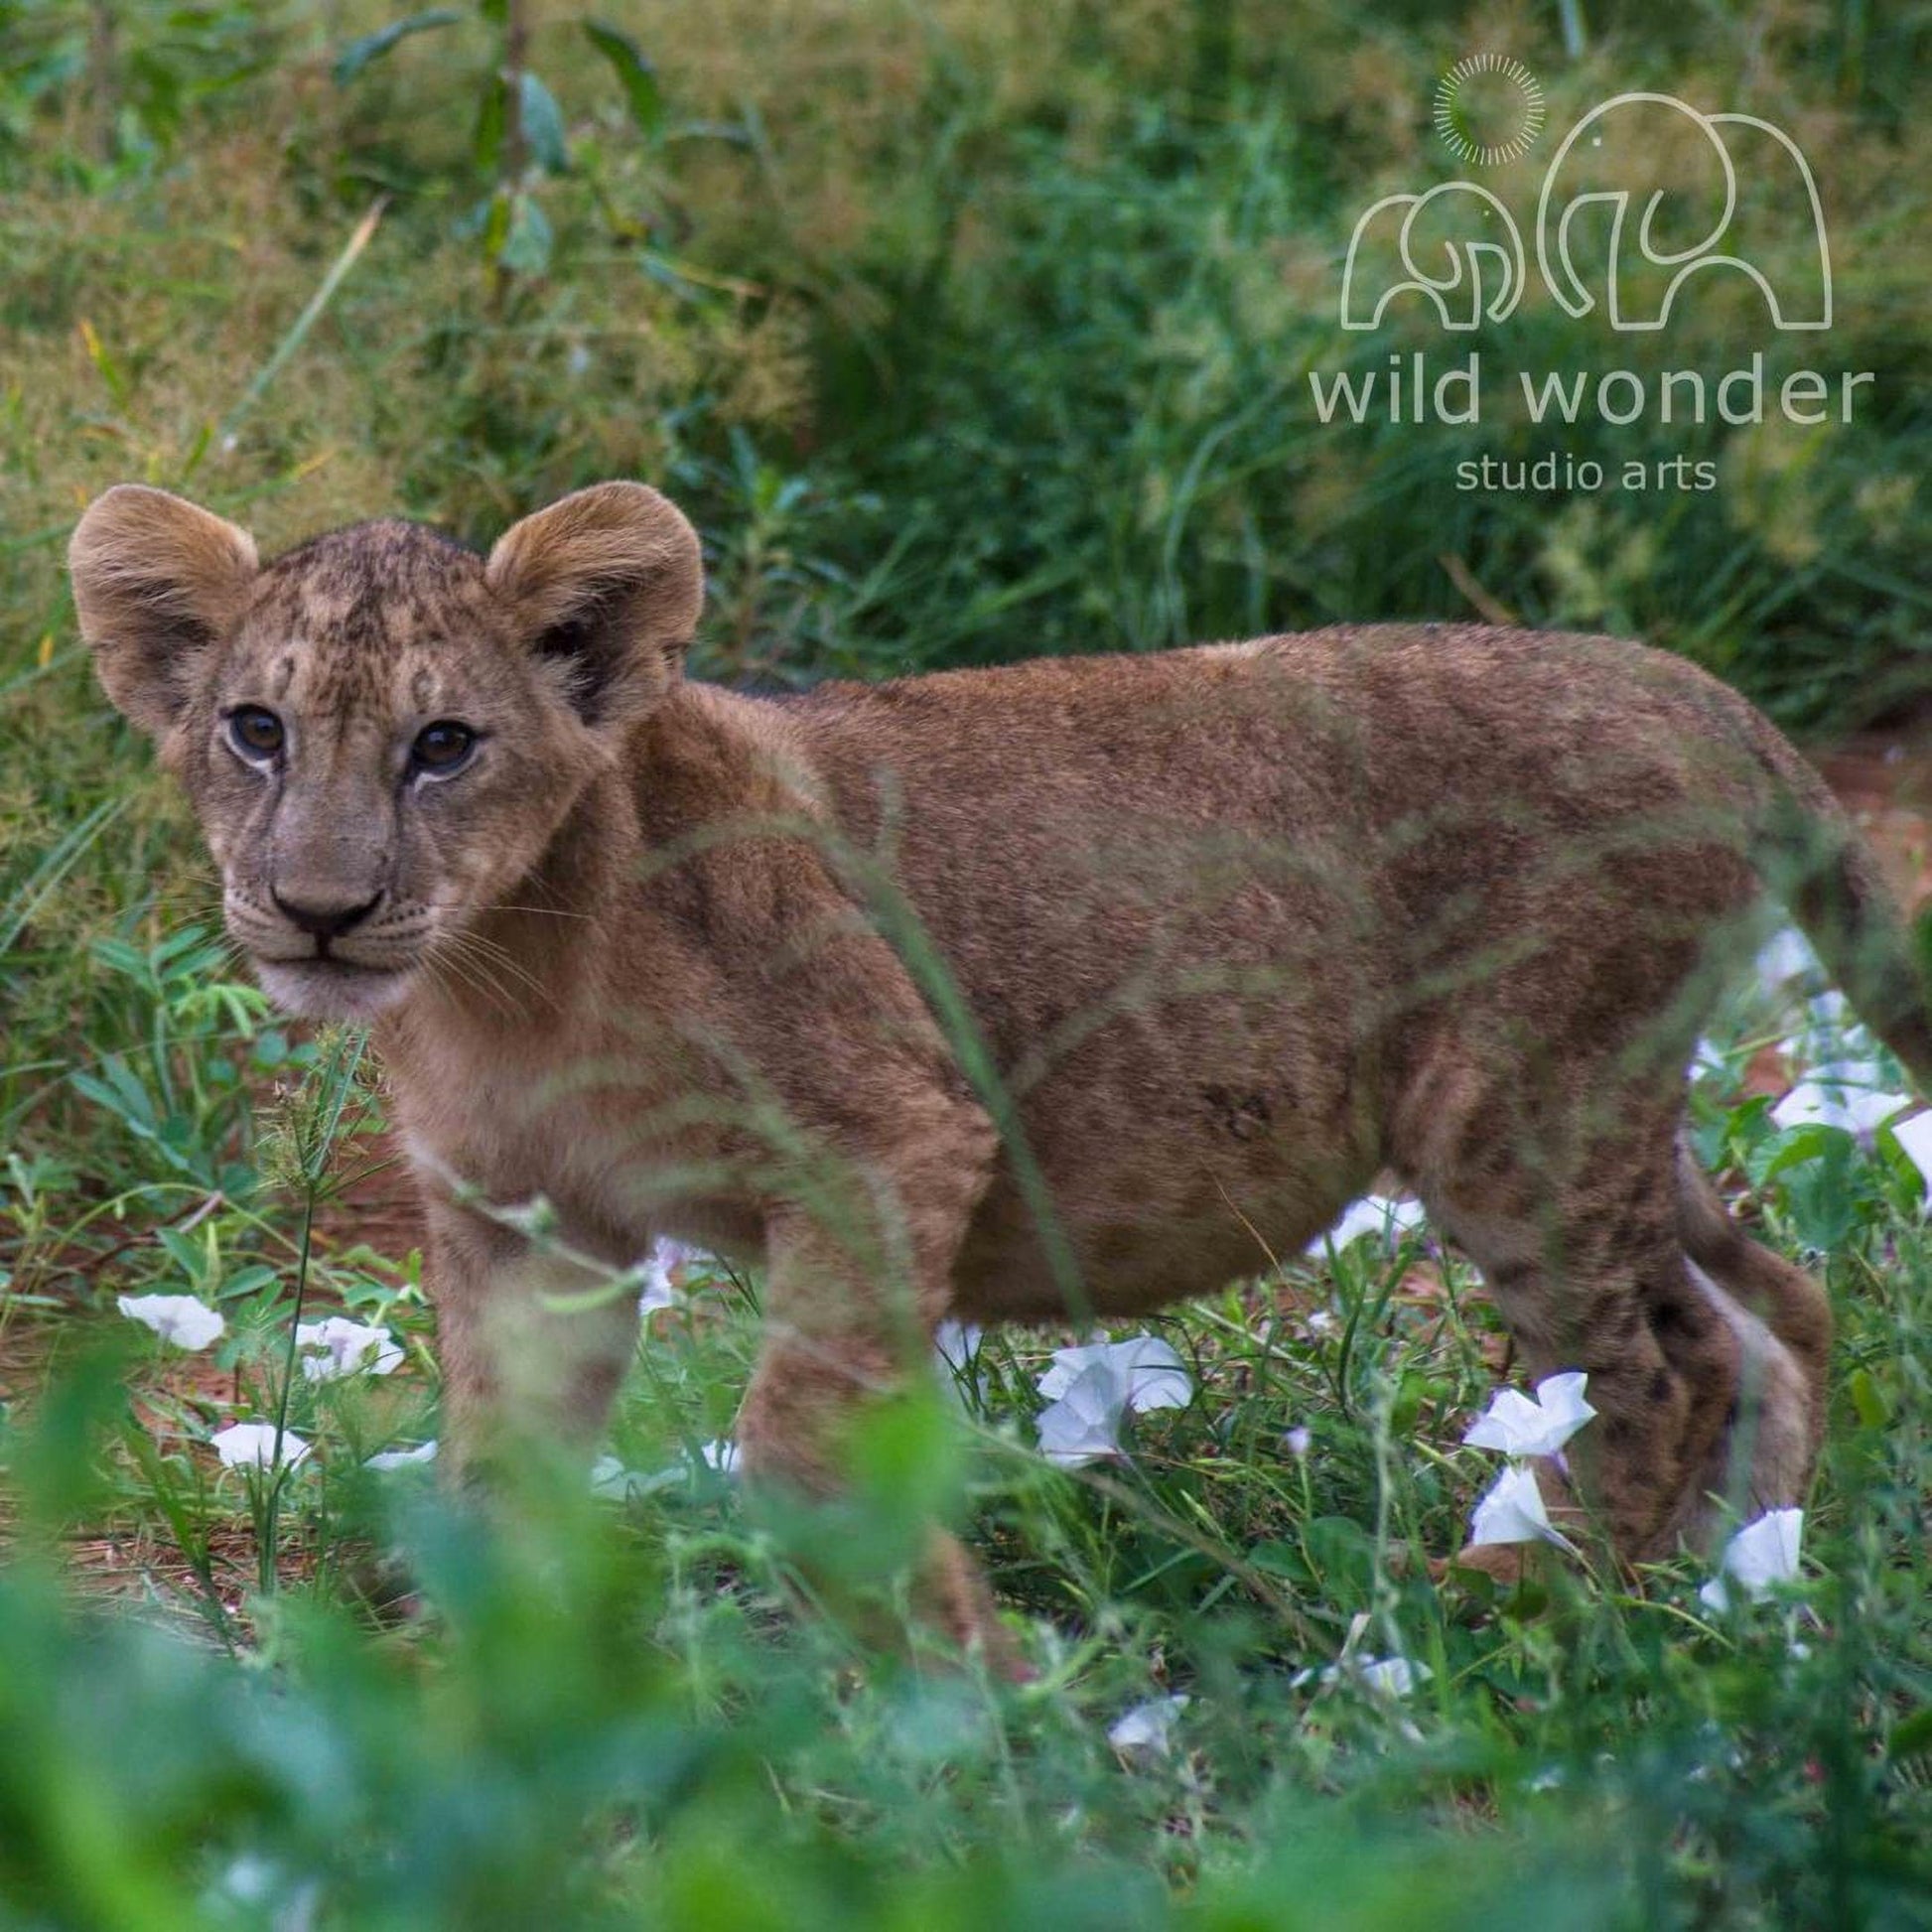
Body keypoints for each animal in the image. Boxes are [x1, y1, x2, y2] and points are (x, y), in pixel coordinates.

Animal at [68, 479, 1932, 1670]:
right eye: (256, 731)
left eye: (442, 746)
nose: (317, 908)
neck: (506, 976)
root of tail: (1695, 687)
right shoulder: (520, 1219)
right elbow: (495, 1471)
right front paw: (488, 1700)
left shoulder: (883, 1135)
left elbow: (801, 1439)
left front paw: (976, 1682)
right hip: (1609, 1096)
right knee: (1773, 1296)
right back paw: (1742, 1591)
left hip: (1515, 1108)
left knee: (1654, 1365)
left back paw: (1523, 1604)